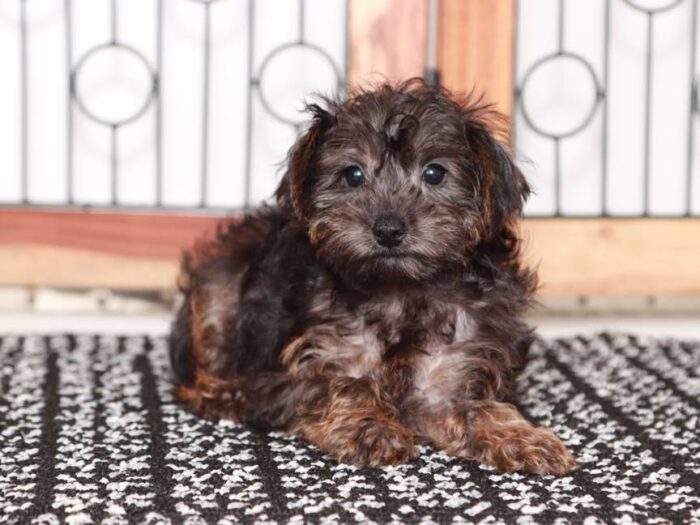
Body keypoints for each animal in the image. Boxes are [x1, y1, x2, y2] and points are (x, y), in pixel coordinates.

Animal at [168, 79, 576, 474]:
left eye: (434, 173)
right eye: (353, 174)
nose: (389, 229)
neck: (399, 291)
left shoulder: (446, 376)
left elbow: (475, 409)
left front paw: (523, 439)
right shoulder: (303, 364)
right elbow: (347, 383)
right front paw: (371, 428)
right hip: (219, 286)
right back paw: (223, 394)